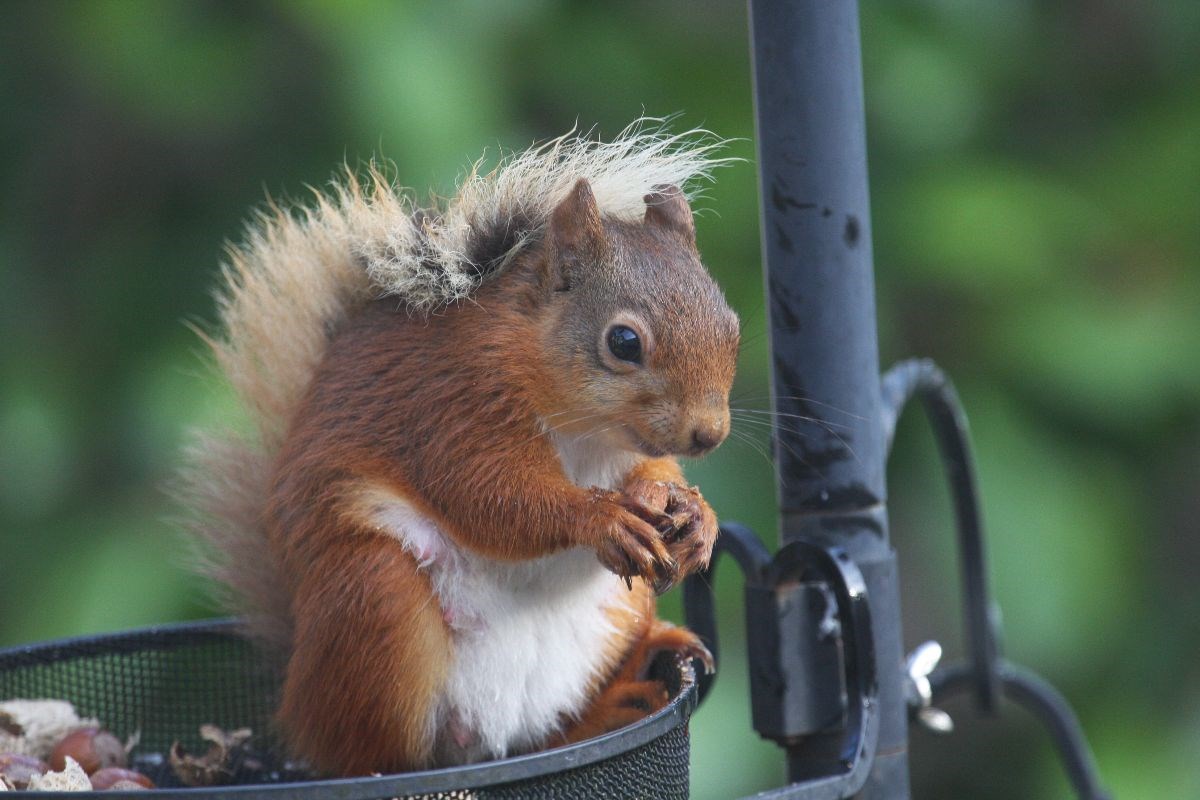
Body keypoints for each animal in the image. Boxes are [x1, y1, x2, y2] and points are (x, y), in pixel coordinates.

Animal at [181, 123, 740, 776]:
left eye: (731, 325)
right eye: (623, 342)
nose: (709, 433)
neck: (589, 433)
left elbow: (655, 468)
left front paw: (695, 514)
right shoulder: (453, 405)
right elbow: (489, 495)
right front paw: (600, 518)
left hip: (619, 614)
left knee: (548, 737)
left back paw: (629, 684)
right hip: (377, 597)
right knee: (379, 756)